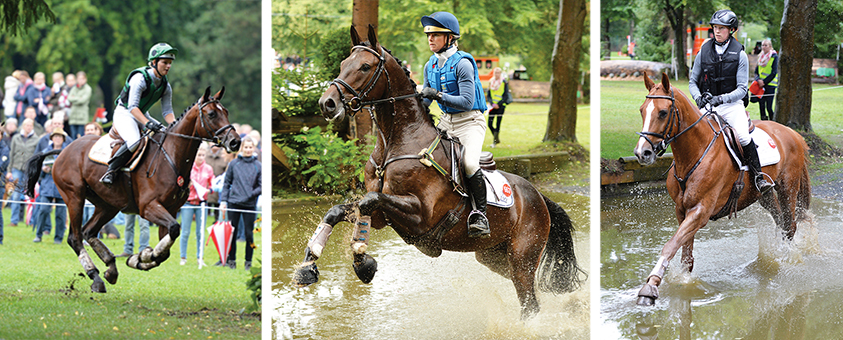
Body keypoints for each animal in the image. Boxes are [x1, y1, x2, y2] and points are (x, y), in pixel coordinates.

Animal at [24, 87, 239, 292]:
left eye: (227, 112)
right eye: (211, 114)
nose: (235, 141)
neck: (171, 157)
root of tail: (63, 150)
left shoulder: (170, 210)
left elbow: (166, 247)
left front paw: (139, 259)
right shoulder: (149, 207)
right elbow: (173, 231)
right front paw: (142, 256)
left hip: (107, 205)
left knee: (88, 232)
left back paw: (110, 268)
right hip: (74, 197)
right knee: (75, 238)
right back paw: (96, 277)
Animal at [292, 24, 588, 318]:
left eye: (365, 66)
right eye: (343, 63)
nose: (327, 103)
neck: (395, 144)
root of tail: (539, 197)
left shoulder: (421, 216)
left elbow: (368, 201)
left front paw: (363, 263)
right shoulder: (382, 218)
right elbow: (341, 210)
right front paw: (309, 265)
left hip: (522, 256)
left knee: (530, 303)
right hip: (494, 256)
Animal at [632, 73, 812, 306]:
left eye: (663, 112)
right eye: (642, 110)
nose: (642, 153)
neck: (694, 153)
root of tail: (793, 133)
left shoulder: (700, 212)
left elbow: (671, 245)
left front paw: (651, 286)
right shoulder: (682, 211)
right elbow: (685, 253)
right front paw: (684, 280)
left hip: (787, 188)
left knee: (790, 225)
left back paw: (785, 259)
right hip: (763, 195)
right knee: (780, 220)